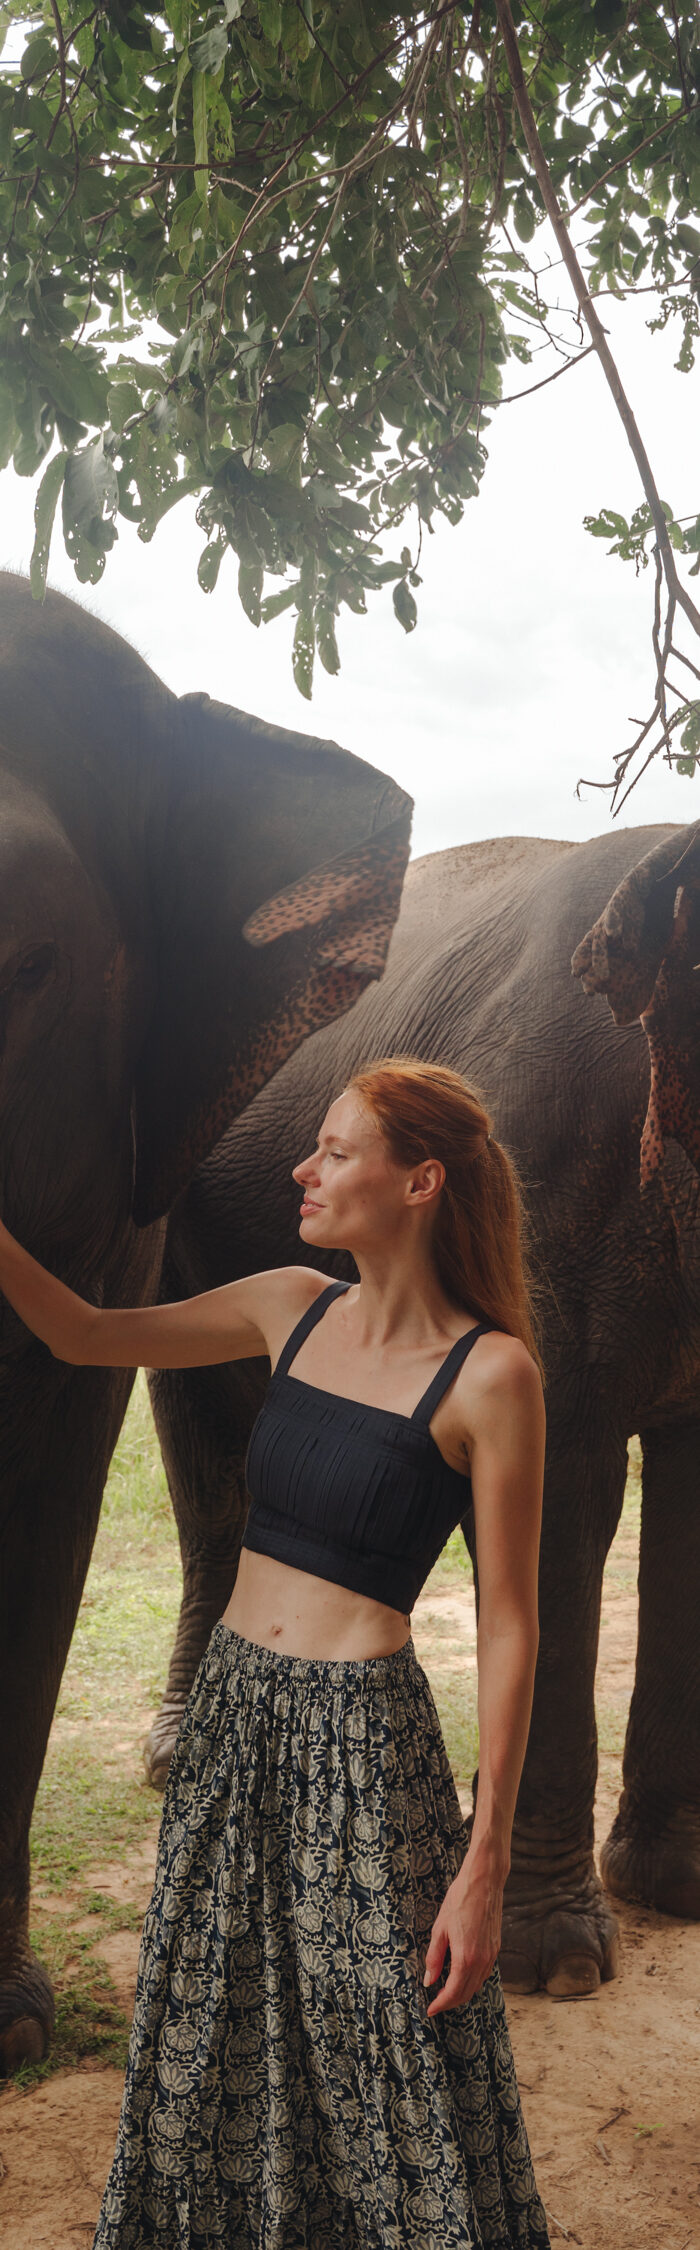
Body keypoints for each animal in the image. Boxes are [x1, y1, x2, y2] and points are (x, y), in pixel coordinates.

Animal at [144, 820, 700, 2001]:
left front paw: (675, 1890)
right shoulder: (544, 1188)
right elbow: (557, 1500)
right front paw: (559, 1968)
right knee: (206, 1446)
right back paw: (177, 1757)